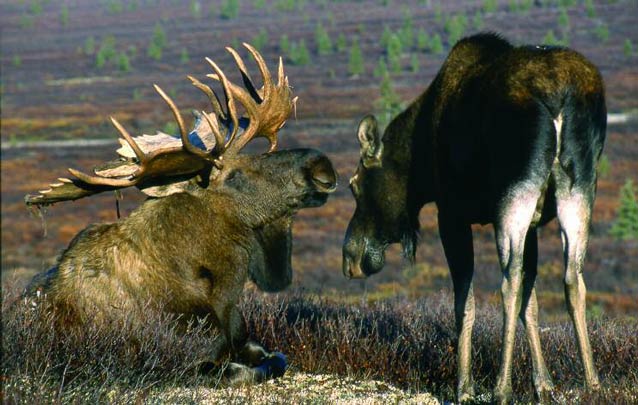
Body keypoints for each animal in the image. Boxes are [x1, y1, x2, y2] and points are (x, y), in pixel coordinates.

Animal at [23, 43, 340, 386]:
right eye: (234, 175)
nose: (320, 163)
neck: (222, 286)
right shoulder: (183, 358)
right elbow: (243, 370)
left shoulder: (241, 333)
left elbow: (275, 356)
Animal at [342, 33, 608, 402]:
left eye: (354, 185)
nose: (349, 259)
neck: (420, 164)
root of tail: (558, 97)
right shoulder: (536, 226)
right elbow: (532, 303)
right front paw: (543, 384)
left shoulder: (451, 215)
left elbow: (464, 303)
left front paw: (463, 386)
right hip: (580, 185)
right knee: (572, 277)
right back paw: (593, 382)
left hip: (514, 194)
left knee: (509, 283)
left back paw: (501, 387)